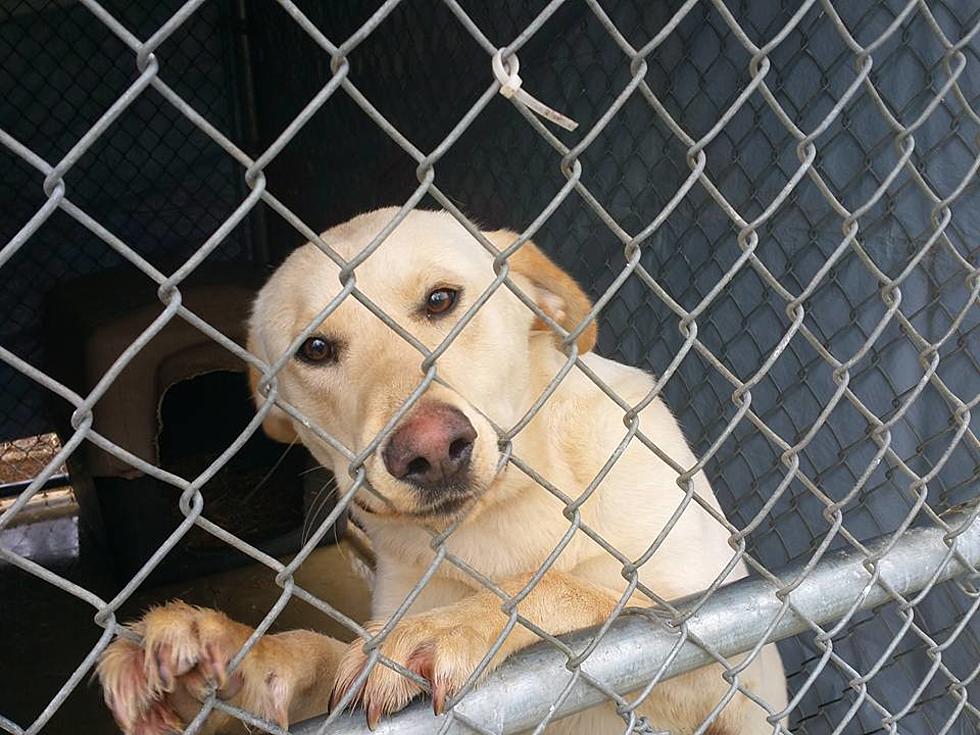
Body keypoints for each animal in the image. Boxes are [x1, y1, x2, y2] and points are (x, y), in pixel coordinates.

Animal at [97, 207, 788, 735]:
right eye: (314, 349)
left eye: (440, 300)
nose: (429, 451)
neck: (499, 521)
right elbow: (323, 653)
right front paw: (232, 656)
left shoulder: (729, 653)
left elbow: (577, 589)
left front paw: (449, 627)